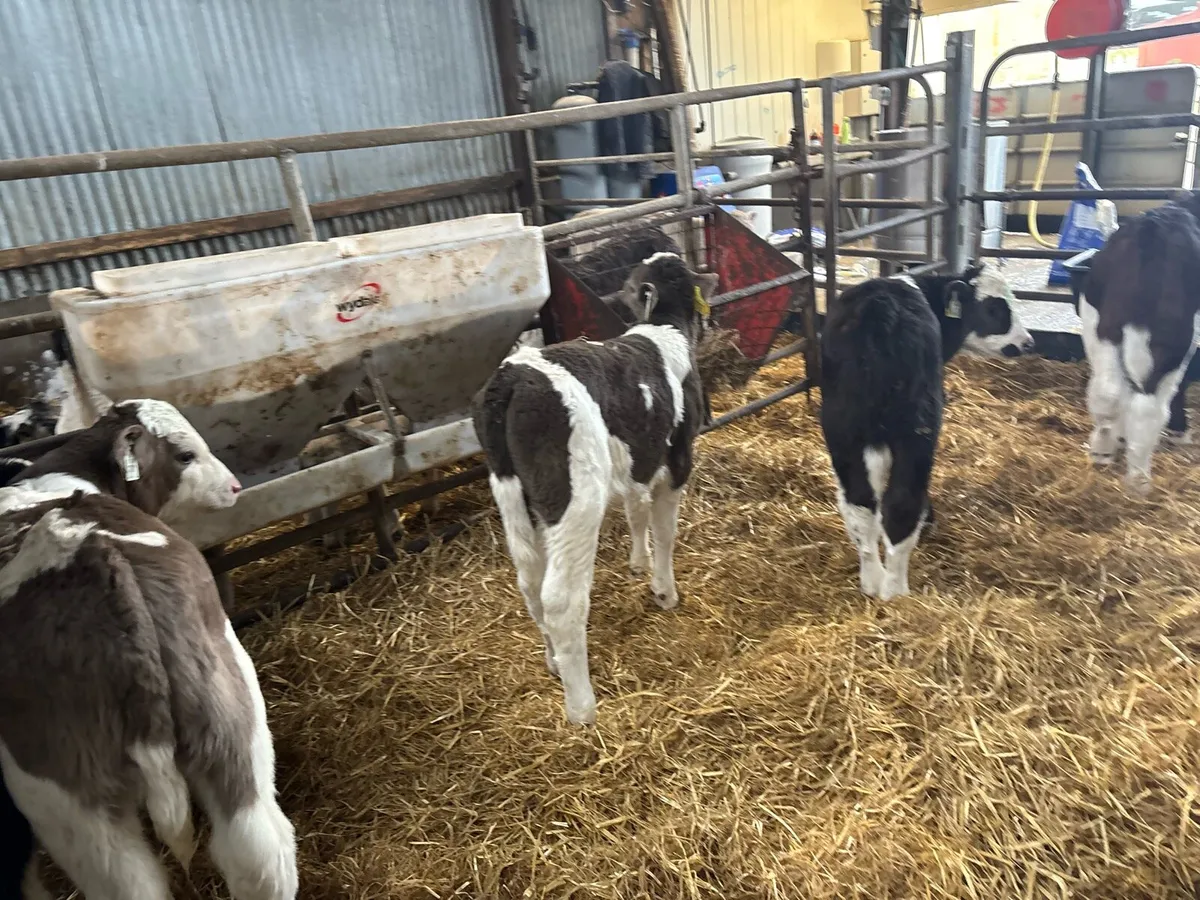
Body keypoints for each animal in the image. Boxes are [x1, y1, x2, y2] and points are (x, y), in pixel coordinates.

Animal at [473, 252, 717, 725]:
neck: (665, 330)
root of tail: (511, 378)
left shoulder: (638, 456)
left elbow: (636, 510)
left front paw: (638, 564)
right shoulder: (678, 458)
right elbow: (665, 531)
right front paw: (664, 590)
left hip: (510, 494)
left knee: (529, 582)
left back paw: (552, 661)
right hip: (575, 499)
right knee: (560, 598)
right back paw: (582, 706)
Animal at [820, 265, 1034, 600]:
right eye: (994, 308)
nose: (1028, 343)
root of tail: (882, 313)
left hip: (842, 425)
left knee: (859, 502)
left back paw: (873, 582)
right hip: (919, 426)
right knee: (903, 503)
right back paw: (896, 591)